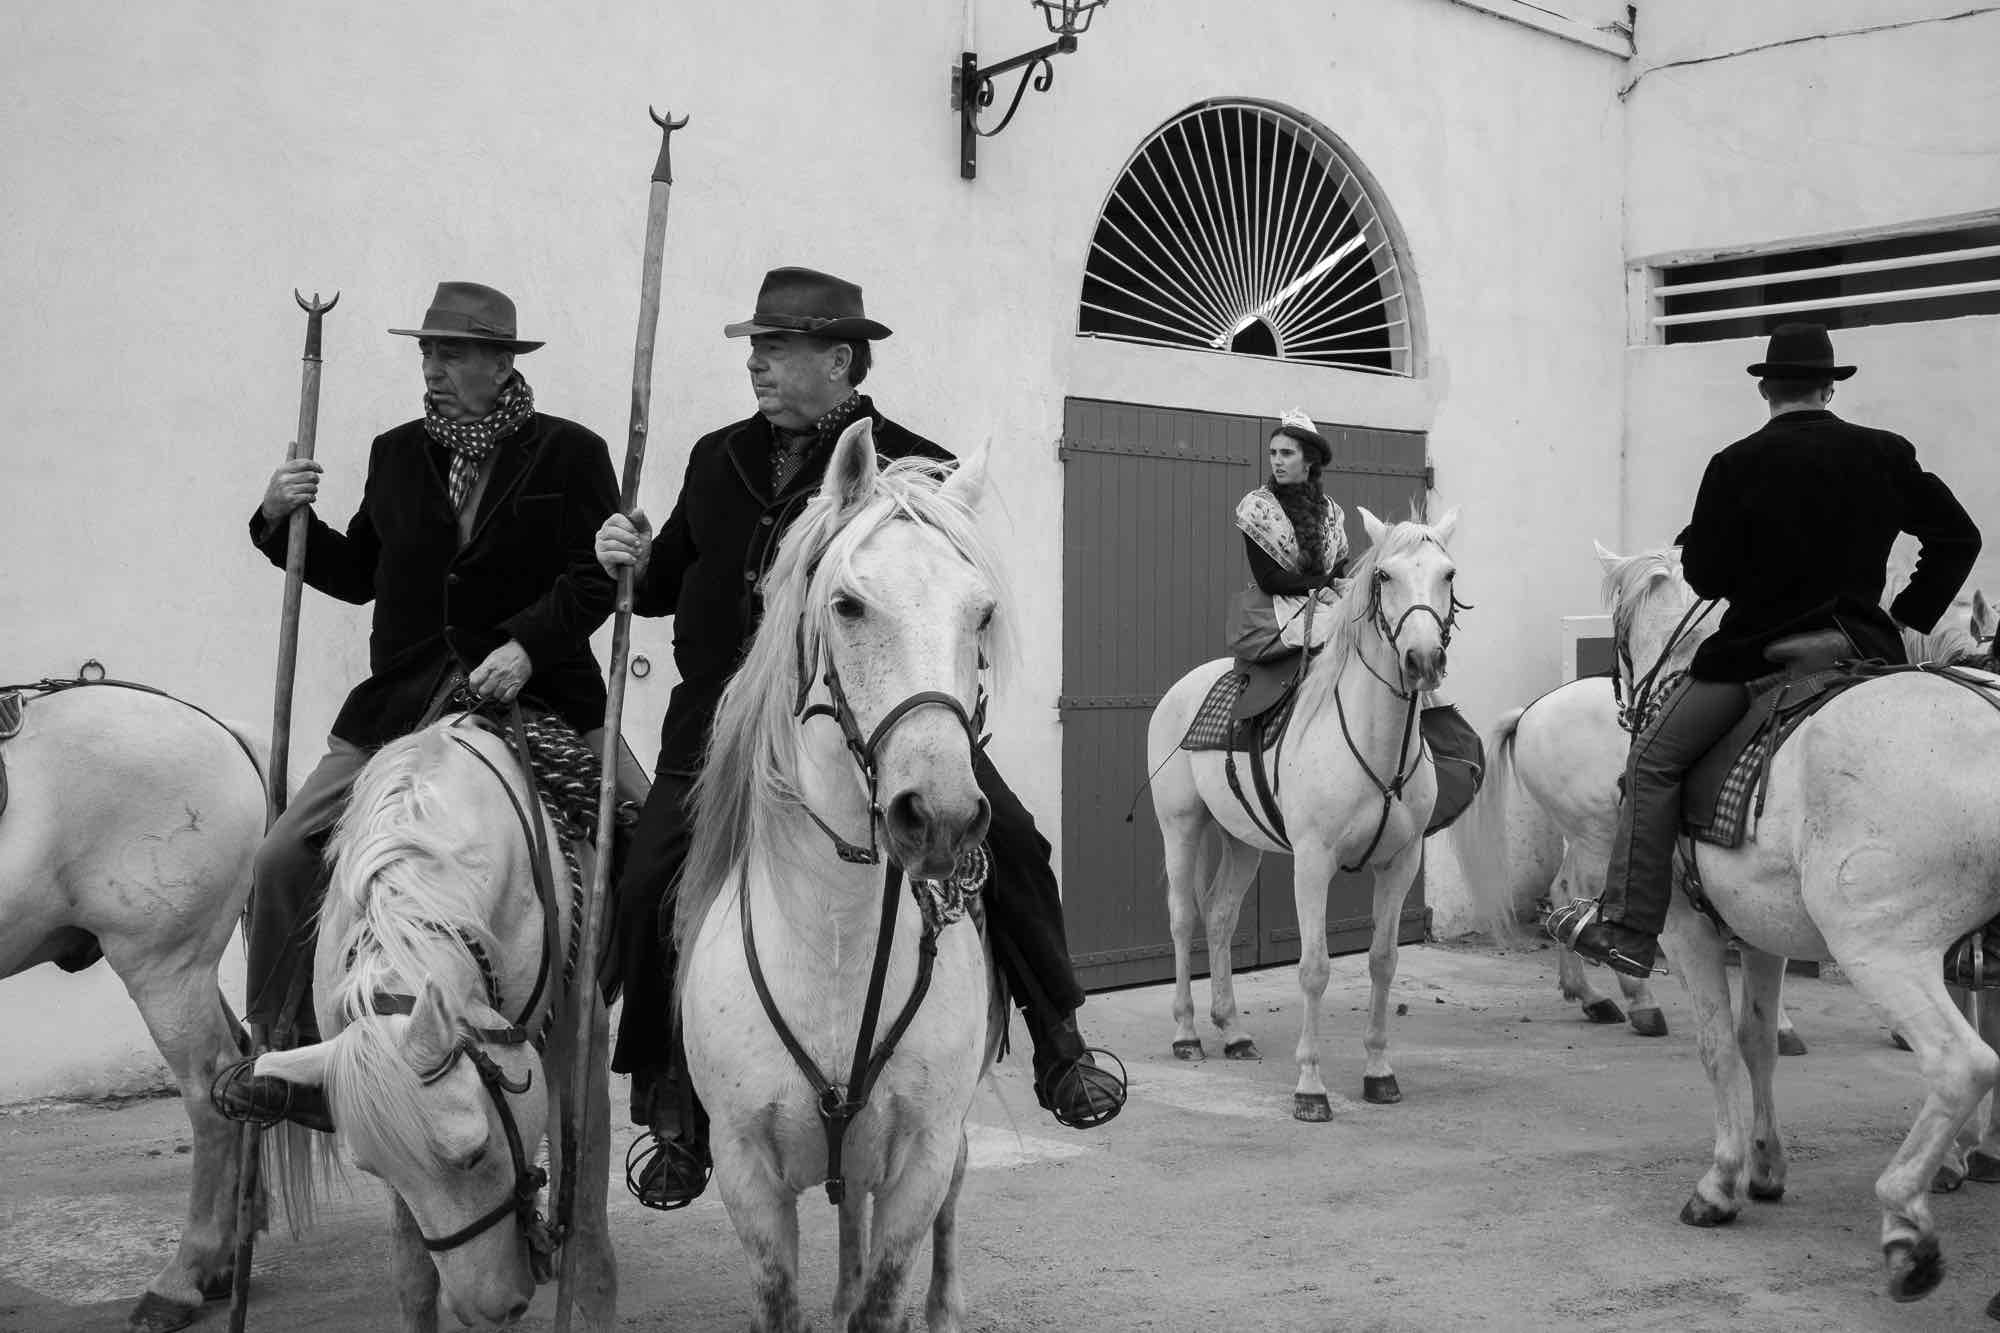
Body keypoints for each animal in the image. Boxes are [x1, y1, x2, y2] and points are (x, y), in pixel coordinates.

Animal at [0, 677, 267, 1333]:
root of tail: (216, 728)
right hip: (191, 967)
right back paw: (225, 1260)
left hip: (164, 967)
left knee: (211, 1093)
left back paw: (182, 1279)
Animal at [250, 714, 614, 1331]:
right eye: (377, 1173)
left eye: (474, 1153)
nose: (492, 1307)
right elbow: (412, 1271)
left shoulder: (577, 1035)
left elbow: (587, 1204)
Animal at [677, 420, 1009, 1332]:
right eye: (849, 604)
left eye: (983, 613)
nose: (940, 815)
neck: (834, 939)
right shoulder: (745, 1170)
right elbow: (784, 1301)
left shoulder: (923, 1154)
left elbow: (888, 1295)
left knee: (952, 1201)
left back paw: (946, 1304)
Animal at [1147, 506, 1462, 1121]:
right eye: (1384, 575)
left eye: (1449, 573)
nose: (1422, 660)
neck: (1376, 742)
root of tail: (1180, 690)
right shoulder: (1313, 862)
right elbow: (1314, 968)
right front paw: (1311, 1087)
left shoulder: (1401, 863)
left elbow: (1383, 960)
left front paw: (1379, 1073)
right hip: (1181, 827)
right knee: (1182, 918)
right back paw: (1187, 1034)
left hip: (1242, 840)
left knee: (1219, 916)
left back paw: (1233, 1032)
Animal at [1448, 545, 1804, 1049]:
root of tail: (1532, 712)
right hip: (1597, 832)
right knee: (1577, 895)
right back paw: (1633, 1000)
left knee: (1564, 890)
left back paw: (1590, 994)